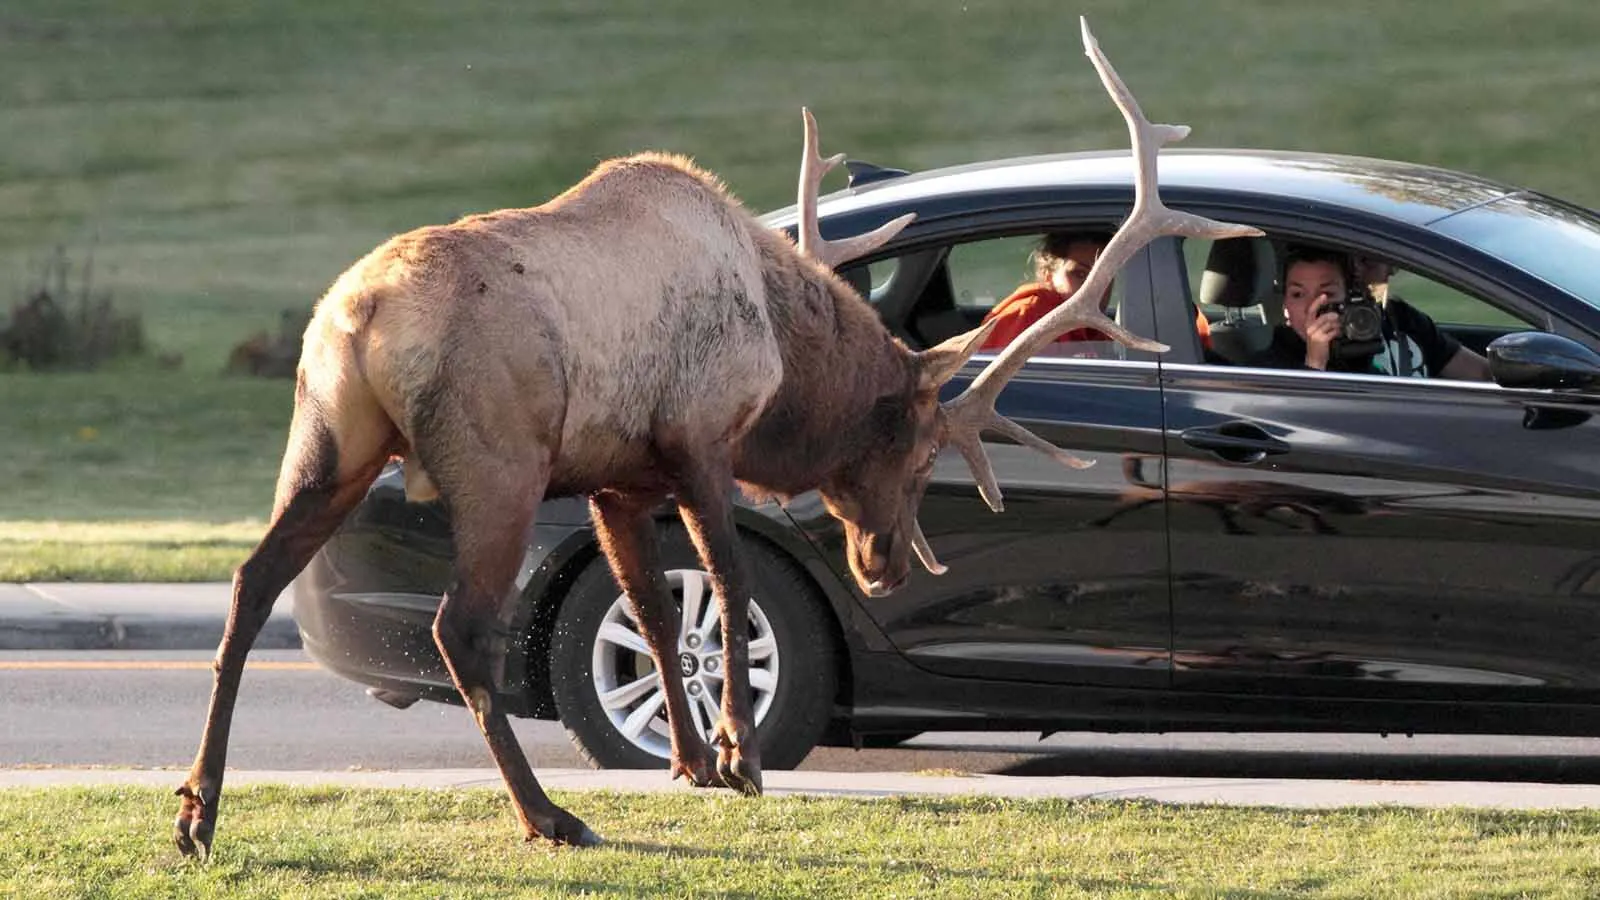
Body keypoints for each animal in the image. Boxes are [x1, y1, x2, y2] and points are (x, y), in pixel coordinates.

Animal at [172, 17, 1259, 857]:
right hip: (497, 464)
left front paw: (693, 758)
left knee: (251, 583)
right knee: (459, 628)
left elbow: (656, 609)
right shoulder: (697, 439)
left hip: (329, 441)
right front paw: (740, 756)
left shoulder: (614, 479)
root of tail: (359, 324)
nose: (882, 566)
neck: (780, 354)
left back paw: (198, 811)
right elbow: (729, 586)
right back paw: (549, 818)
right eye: (916, 453)